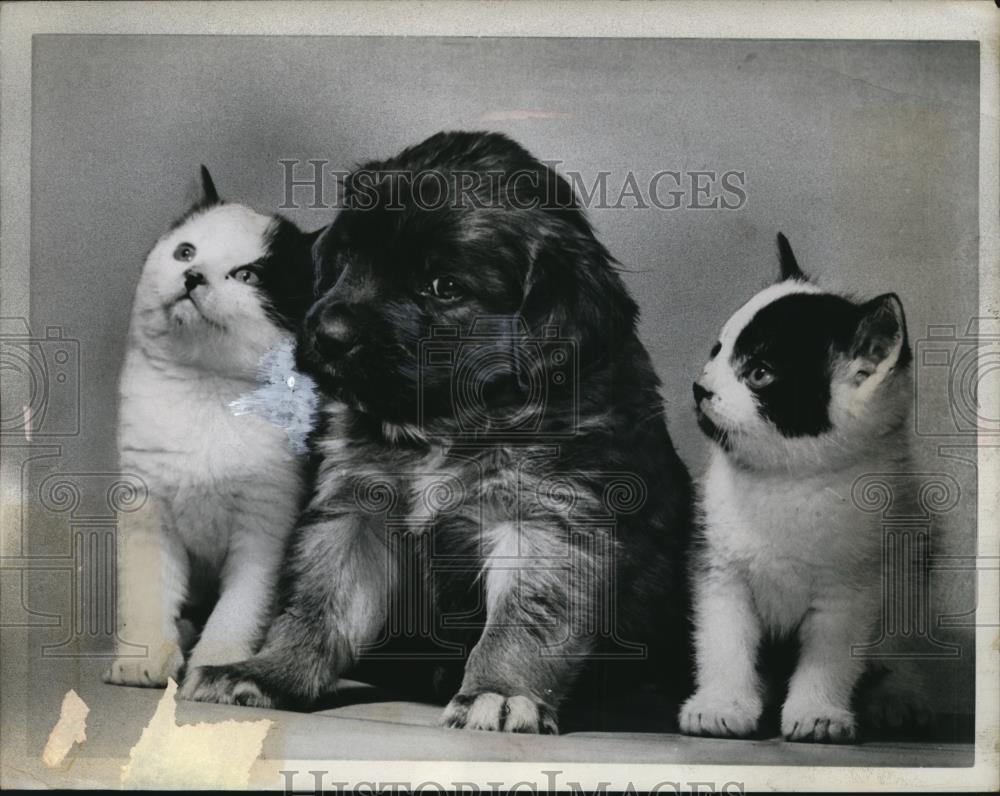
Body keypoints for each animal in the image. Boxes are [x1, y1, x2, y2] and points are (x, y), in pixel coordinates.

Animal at [105, 169, 316, 692]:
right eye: (186, 251)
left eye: (247, 275)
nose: (192, 276)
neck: (205, 390)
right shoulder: (146, 505)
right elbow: (148, 588)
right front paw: (144, 657)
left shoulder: (267, 522)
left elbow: (242, 605)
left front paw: (219, 666)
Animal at [182, 131, 696, 732]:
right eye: (349, 258)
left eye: (444, 287)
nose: (328, 336)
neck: (442, 422)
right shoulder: (357, 509)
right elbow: (318, 604)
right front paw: (270, 672)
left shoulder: (547, 518)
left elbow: (525, 617)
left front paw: (499, 691)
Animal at [680, 233, 928, 744]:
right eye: (717, 350)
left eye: (760, 373)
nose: (700, 388)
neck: (786, 483)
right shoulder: (718, 567)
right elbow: (723, 639)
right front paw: (721, 704)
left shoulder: (853, 583)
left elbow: (832, 653)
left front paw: (818, 712)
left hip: (910, 568)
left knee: (901, 649)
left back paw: (898, 699)